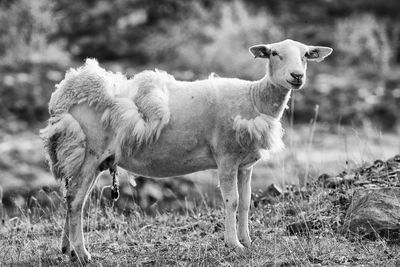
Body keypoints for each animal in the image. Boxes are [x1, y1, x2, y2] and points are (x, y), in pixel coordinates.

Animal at [41, 39, 334, 264]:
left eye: (306, 55)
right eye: (274, 53)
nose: (297, 77)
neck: (253, 97)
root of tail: (65, 95)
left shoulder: (245, 164)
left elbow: (246, 202)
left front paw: (248, 241)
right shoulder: (226, 157)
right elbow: (232, 201)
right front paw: (233, 244)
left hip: (87, 159)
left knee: (69, 199)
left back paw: (67, 249)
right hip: (89, 154)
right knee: (76, 203)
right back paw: (83, 254)